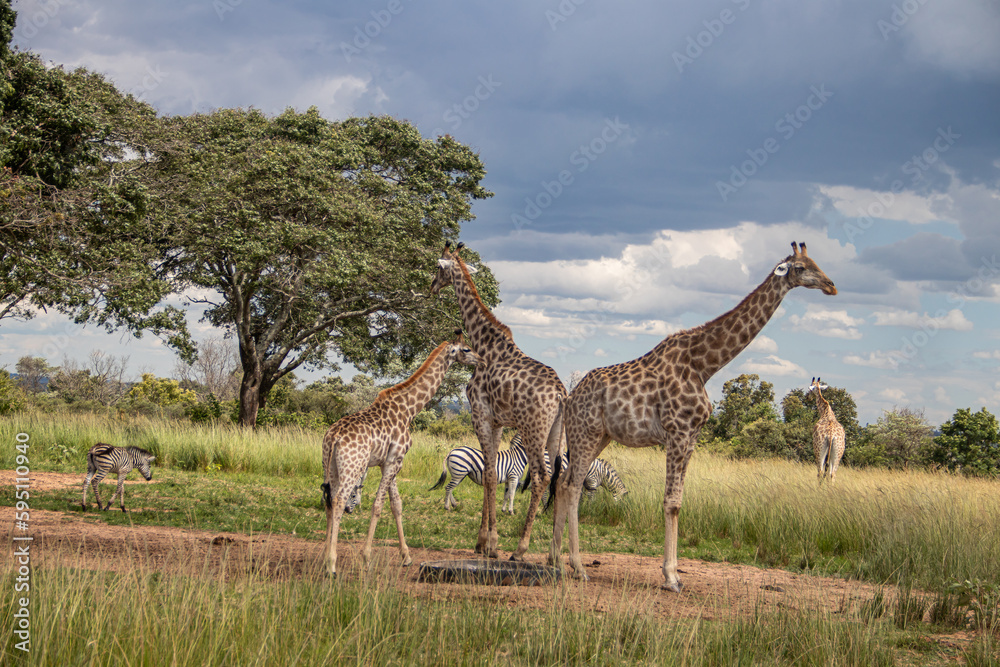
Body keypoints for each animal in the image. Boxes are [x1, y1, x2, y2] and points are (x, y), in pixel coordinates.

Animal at [320, 332, 482, 576]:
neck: (409, 409)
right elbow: (378, 505)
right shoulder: (394, 460)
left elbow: (396, 504)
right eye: (466, 349)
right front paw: (366, 558)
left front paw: (406, 557)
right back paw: (331, 564)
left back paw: (325, 560)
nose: (480, 359)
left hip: (330, 466)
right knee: (338, 501)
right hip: (352, 467)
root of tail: (334, 437)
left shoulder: (389, 462)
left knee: (329, 501)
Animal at [430, 242, 567, 560]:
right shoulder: (498, 421)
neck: (485, 343)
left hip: (533, 429)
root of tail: (559, 394)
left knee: (541, 477)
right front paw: (482, 542)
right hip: (556, 431)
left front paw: (490, 543)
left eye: (438, 268)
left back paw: (520, 549)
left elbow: (491, 474)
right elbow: (490, 470)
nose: (431, 286)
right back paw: (554, 554)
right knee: (558, 478)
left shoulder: (479, 413)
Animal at [548, 241, 837, 591]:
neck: (705, 365)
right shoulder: (678, 431)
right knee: (572, 486)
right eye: (800, 267)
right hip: (585, 432)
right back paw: (577, 567)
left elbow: (679, 501)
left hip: (598, 436)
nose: (831, 286)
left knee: (564, 482)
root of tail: (568, 398)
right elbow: (671, 502)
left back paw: (555, 561)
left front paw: (673, 573)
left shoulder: (692, 435)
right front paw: (671, 577)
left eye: (816, 261)